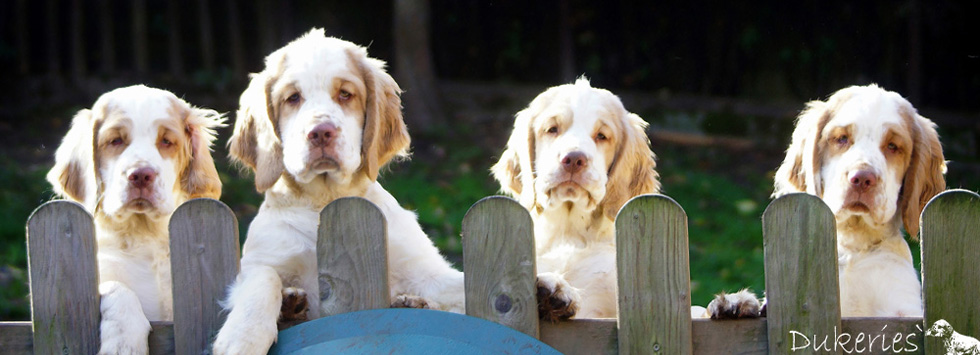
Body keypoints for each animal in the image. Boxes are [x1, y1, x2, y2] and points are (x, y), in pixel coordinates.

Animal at [48, 85, 224, 354]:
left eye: (166, 141)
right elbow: (117, 287)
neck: (144, 234)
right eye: (115, 141)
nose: (141, 175)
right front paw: (123, 344)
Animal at [212, 29, 466, 354]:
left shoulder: (425, 270)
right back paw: (291, 304)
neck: (325, 200)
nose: (321, 132)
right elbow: (264, 278)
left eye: (345, 94)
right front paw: (242, 338)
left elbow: (461, 286)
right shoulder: (258, 262)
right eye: (292, 98)